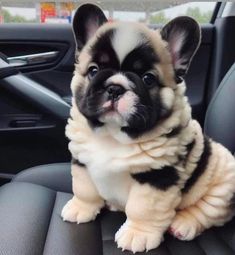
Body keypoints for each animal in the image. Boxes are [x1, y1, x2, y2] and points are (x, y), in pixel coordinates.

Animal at [61, 3, 235, 253]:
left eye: (148, 78)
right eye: (93, 70)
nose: (115, 88)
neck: (113, 136)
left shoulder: (157, 177)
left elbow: (142, 209)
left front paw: (138, 234)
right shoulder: (82, 161)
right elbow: (84, 188)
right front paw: (81, 208)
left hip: (220, 186)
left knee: (209, 211)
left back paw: (183, 224)